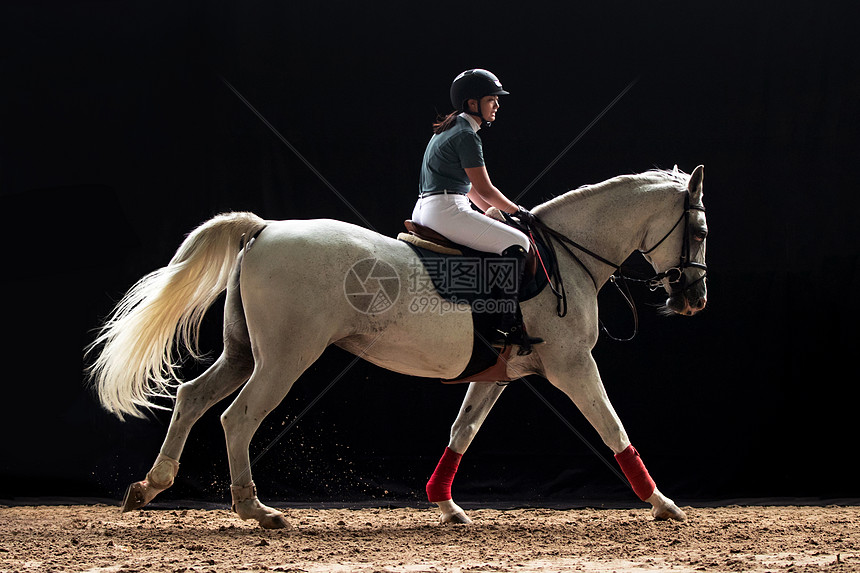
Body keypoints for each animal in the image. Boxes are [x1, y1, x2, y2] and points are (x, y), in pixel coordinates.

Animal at [84, 164, 708, 528]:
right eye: (699, 230)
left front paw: (446, 504)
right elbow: (612, 428)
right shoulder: (572, 364)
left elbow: (462, 430)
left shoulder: (497, 374)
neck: (567, 258)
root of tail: (265, 229)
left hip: (243, 354)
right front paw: (663, 504)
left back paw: (149, 488)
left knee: (192, 397)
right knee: (237, 417)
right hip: (284, 358)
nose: (694, 299)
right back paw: (257, 510)